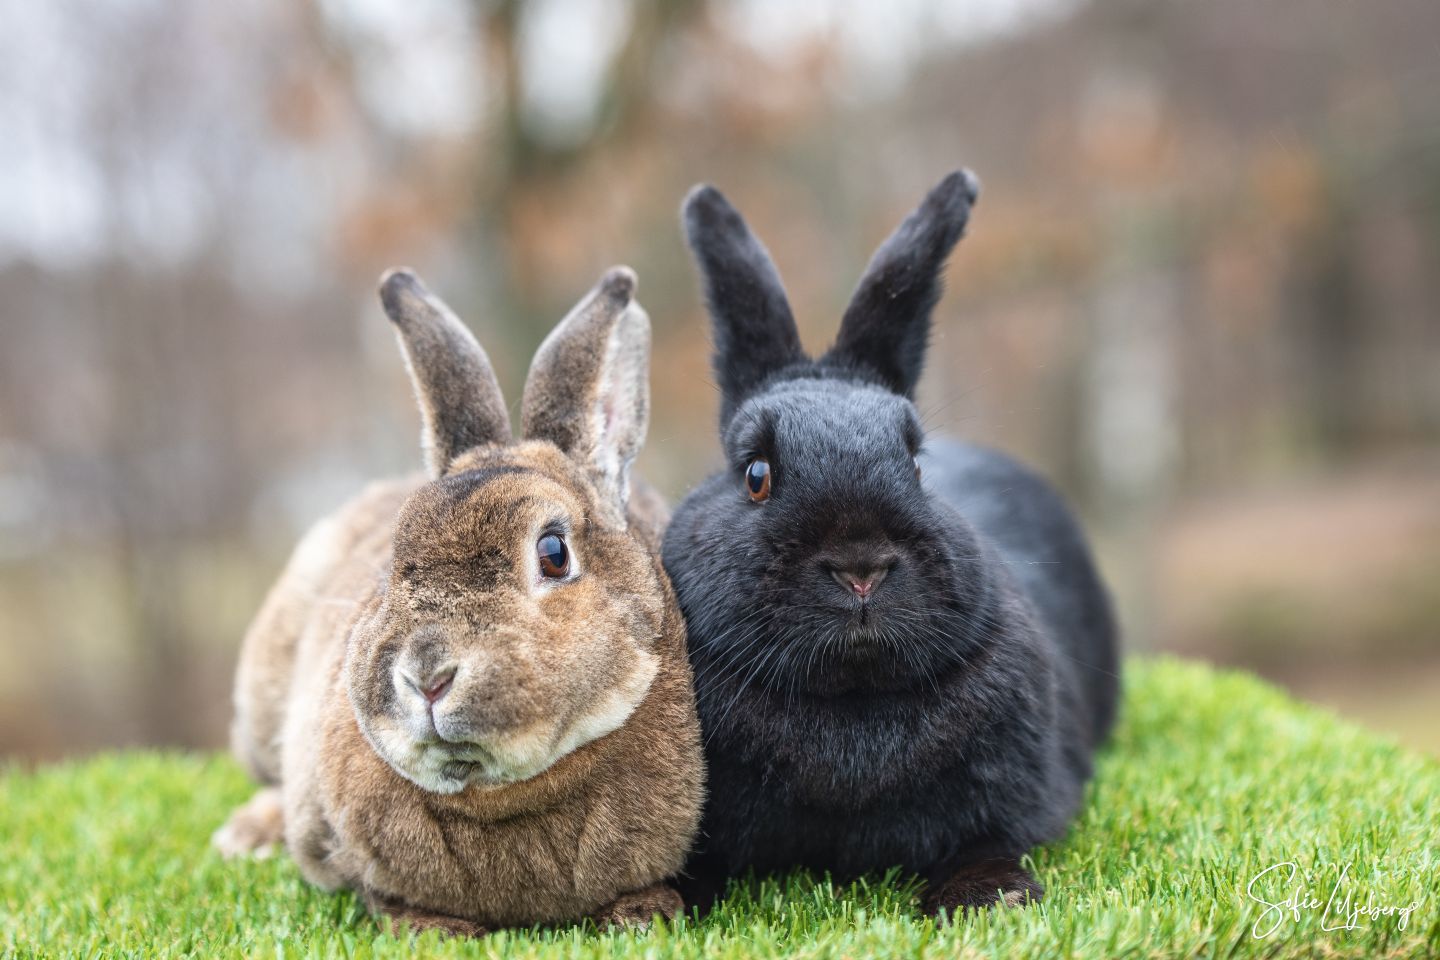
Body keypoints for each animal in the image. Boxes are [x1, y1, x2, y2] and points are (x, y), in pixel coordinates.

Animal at [211, 266, 702, 932]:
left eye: (554, 552)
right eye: (395, 560)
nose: (427, 677)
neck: (502, 796)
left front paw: (641, 915)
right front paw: (431, 929)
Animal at [662, 170, 1123, 915]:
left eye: (915, 463)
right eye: (757, 475)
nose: (861, 568)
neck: (852, 701)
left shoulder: (1016, 801)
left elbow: (988, 844)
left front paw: (988, 899)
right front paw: (656, 908)